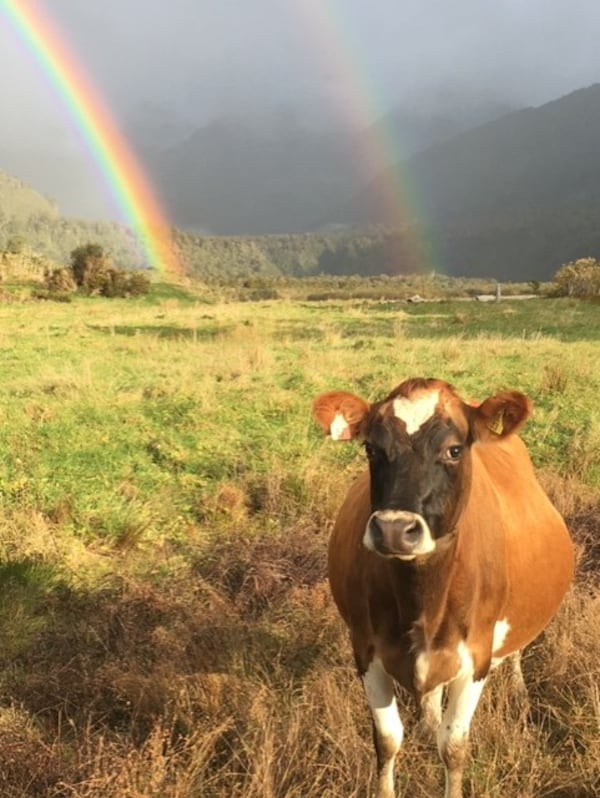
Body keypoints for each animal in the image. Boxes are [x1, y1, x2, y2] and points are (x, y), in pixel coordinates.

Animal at [312, 380, 576, 798]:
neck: (422, 601)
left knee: (515, 649)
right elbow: (387, 739)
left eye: (454, 450)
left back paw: (517, 687)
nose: (393, 529)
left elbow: (453, 747)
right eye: (371, 448)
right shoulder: (365, 649)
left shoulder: (476, 657)